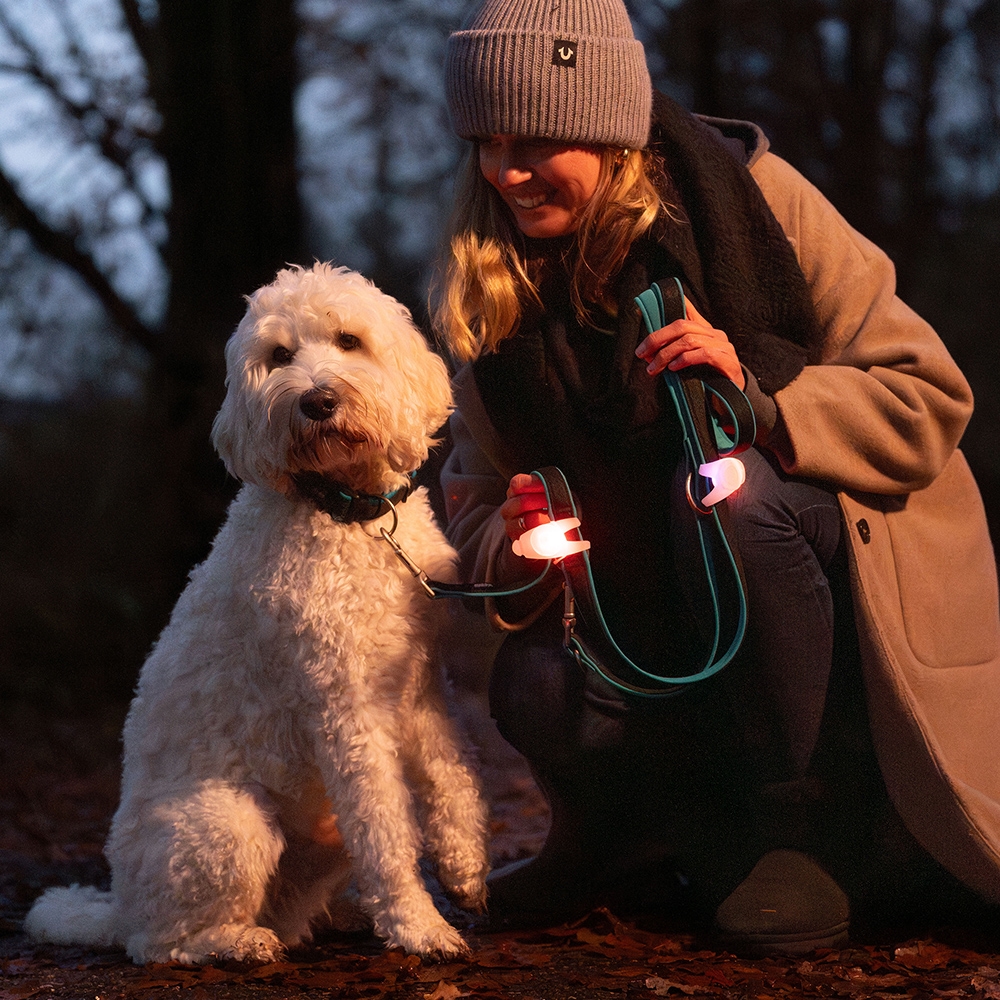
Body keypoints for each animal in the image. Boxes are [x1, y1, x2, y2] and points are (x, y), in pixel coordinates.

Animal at [25, 262, 490, 964]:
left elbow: (450, 772)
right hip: (230, 826)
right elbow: (384, 829)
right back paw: (239, 942)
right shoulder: (347, 710)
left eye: (349, 341)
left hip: (318, 836)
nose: (317, 400)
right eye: (278, 357)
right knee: (160, 943)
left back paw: (331, 917)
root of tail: (117, 905)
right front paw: (419, 926)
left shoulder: (419, 685)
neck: (345, 513)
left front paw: (465, 868)